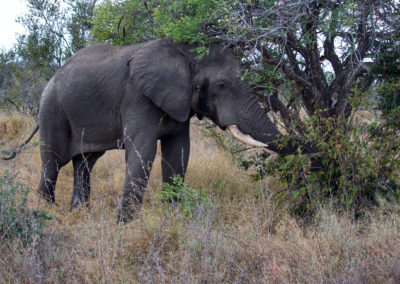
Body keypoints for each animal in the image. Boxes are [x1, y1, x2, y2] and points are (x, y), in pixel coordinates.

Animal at [3, 37, 316, 222]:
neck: (186, 53)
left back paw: (79, 212)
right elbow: (143, 152)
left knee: (85, 163)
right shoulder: (137, 96)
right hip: (52, 110)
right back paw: (44, 212)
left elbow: (178, 153)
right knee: (53, 162)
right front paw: (125, 227)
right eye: (221, 85)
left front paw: (172, 219)